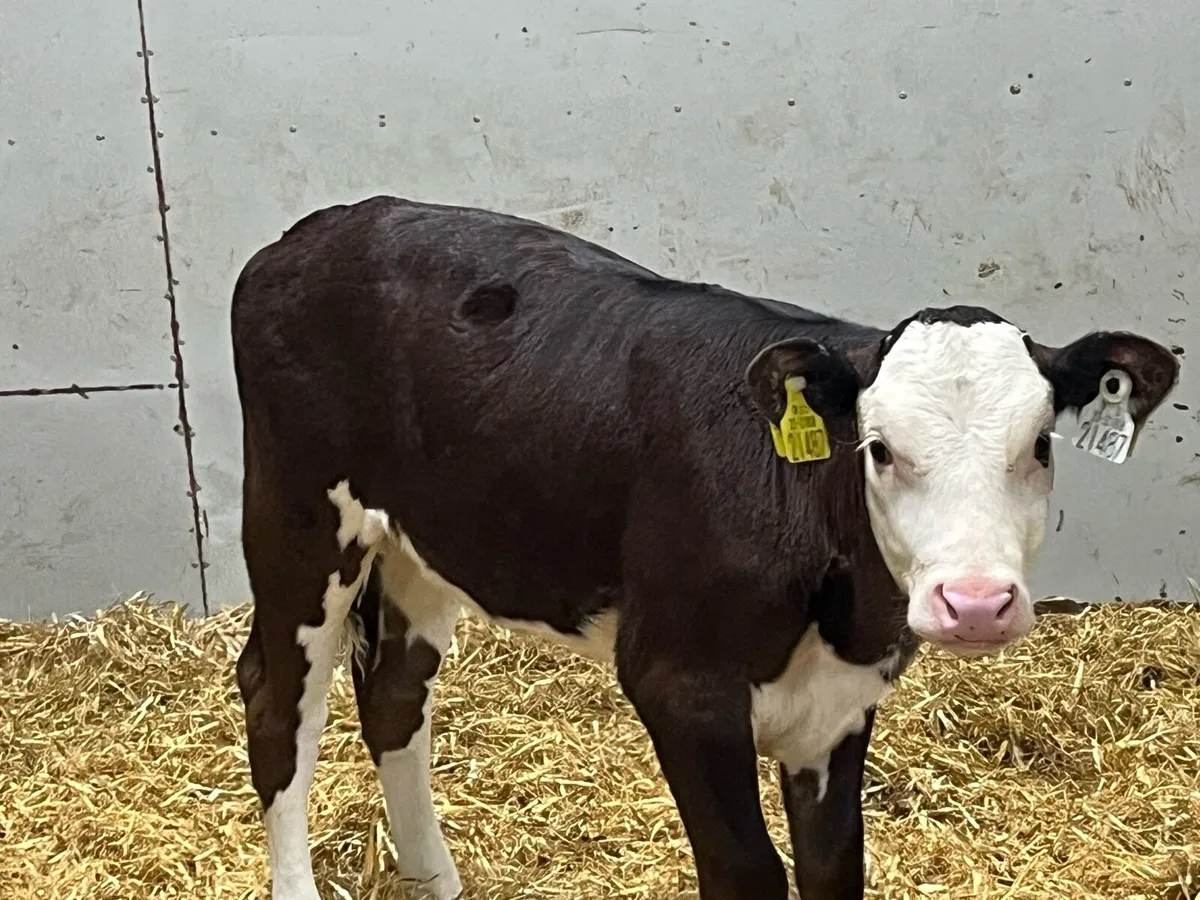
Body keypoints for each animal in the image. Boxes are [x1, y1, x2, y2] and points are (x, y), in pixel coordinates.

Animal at [230, 196, 1179, 900]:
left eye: (1041, 446)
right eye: (878, 448)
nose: (975, 602)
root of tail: (329, 224)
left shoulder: (840, 702)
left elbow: (833, 866)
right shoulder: (679, 685)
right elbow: (746, 871)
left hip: (426, 543)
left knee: (394, 693)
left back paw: (437, 880)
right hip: (297, 515)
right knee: (280, 701)